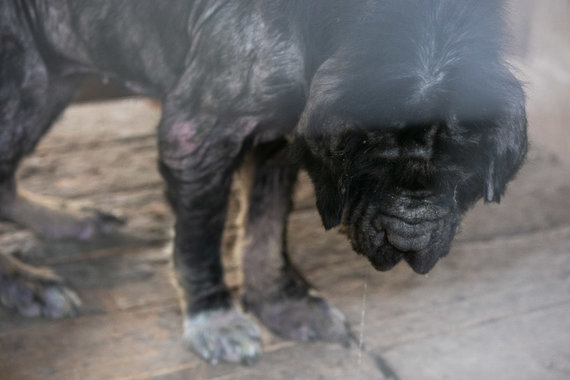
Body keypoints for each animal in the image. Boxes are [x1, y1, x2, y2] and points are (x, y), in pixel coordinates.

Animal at [0, 0, 524, 362]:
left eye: (465, 167)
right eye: (367, 154)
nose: (409, 233)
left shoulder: (283, 129)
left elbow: (265, 227)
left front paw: (282, 305)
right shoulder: (197, 133)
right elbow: (200, 235)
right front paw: (215, 320)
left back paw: (67, 224)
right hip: (22, 78)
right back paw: (26, 284)